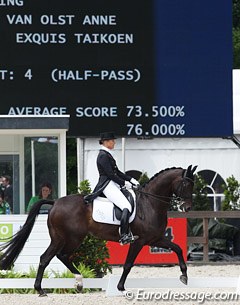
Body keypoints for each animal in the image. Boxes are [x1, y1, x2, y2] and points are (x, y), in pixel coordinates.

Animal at [0, 164, 196, 294]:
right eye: (186, 184)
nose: (187, 207)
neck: (150, 203)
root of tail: (55, 202)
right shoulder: (139, 241)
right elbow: (128, 264)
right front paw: (120, 287)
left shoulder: (154, 239)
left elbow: (178, 248)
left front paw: (184, 276)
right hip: (69, 238)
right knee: (50, 257)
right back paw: (43, 289)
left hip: (66, 238)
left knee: (56, 256)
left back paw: (75, 283)